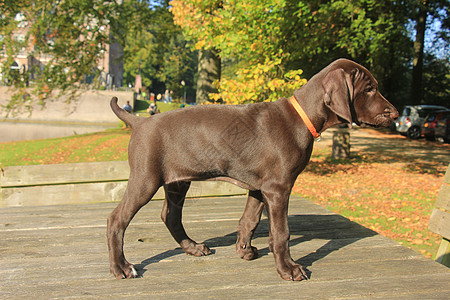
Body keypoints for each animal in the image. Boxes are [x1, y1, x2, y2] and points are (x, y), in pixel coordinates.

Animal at [106, 59, 398, 282]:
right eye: (369, 89)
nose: (395, 114)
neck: (302, 118)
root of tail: (139, 122)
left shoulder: (260, 186)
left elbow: (249, 220)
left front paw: (244, 250)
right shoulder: (278, 188)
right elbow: (281, 233)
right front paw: (288, 269)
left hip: (178, 181)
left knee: (170, 216)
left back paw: (192, 248)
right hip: (146, 178)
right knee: (117, 219)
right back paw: (121, 267)